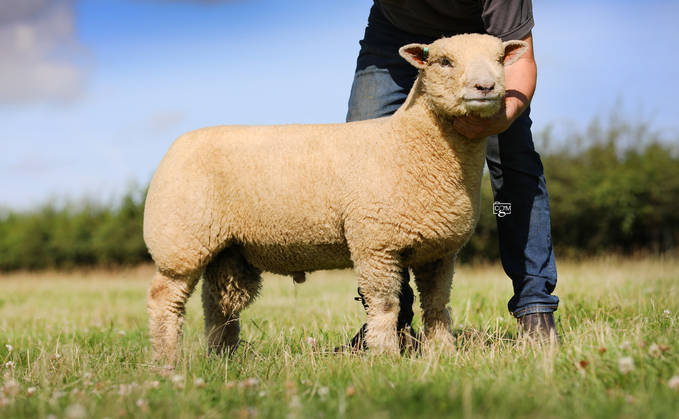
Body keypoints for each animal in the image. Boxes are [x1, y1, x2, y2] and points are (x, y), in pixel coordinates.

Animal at [145, 34, 532, 362]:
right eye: (444, 61)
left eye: (500, 59)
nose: (486, 87)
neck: (408, 142)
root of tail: (175, 145)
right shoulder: (375, 242)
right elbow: (385, 305)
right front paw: (386, 356)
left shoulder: (438, 251)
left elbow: (437, 306)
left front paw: (443, 354)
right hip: (180, 241)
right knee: (164, 299)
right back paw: (167, 361)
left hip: (226, 250)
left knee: (217, 304)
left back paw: (222, 358)